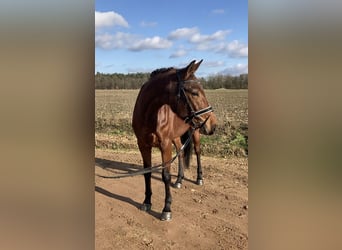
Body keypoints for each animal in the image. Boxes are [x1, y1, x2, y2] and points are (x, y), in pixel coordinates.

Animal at [133, 60, 216, 221]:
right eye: (194, 92)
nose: (213, 125)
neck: (150, 115)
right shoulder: (143, 145)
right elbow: (147, 172)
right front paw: (147, 202)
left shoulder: (165, 145)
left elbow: (165, 176)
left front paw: (166, 209)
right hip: (176, 137)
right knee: (181, 152)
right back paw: (178, 180)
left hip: (196, 132)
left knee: (197, 152)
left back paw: (199, 178)